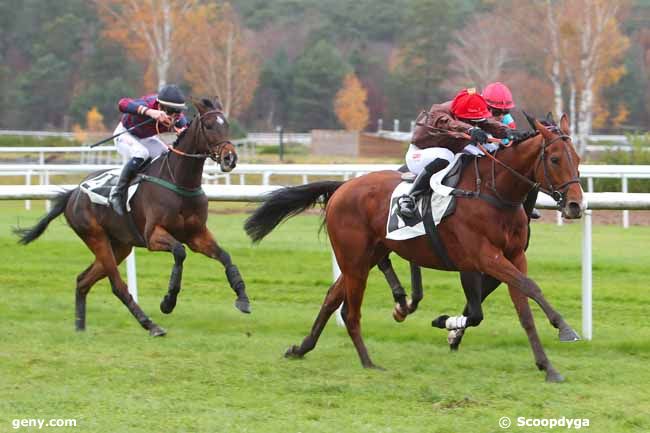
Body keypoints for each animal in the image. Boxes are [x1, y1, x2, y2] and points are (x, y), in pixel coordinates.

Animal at [15, 98, 248, 338]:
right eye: (209, 126)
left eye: (226, 125)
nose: (230, 158)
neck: (179, 182)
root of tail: (74, 192)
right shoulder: (153, 236)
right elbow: (179, 251)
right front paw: (168, 301)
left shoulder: (197, 234)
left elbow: (225, 256)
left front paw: (242, 298)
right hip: (96, 237)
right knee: (117, 286)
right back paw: (151, 325)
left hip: (120, 246)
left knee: (83, 280)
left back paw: (80, 326)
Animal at [247, 114, 584, 382]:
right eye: (555, 159)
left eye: (578, 159)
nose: (575, 206)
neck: (493, 192)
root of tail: (342, 187)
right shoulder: (483, 258)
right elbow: (521, 291)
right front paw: (565, 329)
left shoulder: (513, 256)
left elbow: (523, 307)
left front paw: (548, 366)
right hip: (355, 260)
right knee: (350, 312)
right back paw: (368, 362)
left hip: (365, 258)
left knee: (332, 298)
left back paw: (301, 348)